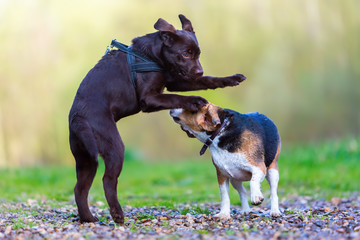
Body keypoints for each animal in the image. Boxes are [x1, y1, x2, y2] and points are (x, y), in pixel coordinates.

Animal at [69, 15, 246, 224]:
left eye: (197, 53)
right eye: (185, 54)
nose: (199, 71)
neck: (151, 56)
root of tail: (78, 118)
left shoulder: (175, 80)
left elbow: (206, 81)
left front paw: (231, 79)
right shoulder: (150, 99)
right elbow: (175, 97)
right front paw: (194, 101)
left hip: (85, 158)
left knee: (80, 188)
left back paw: (88, 218)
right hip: (113, 146)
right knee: (108, 181)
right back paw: (117, 214)